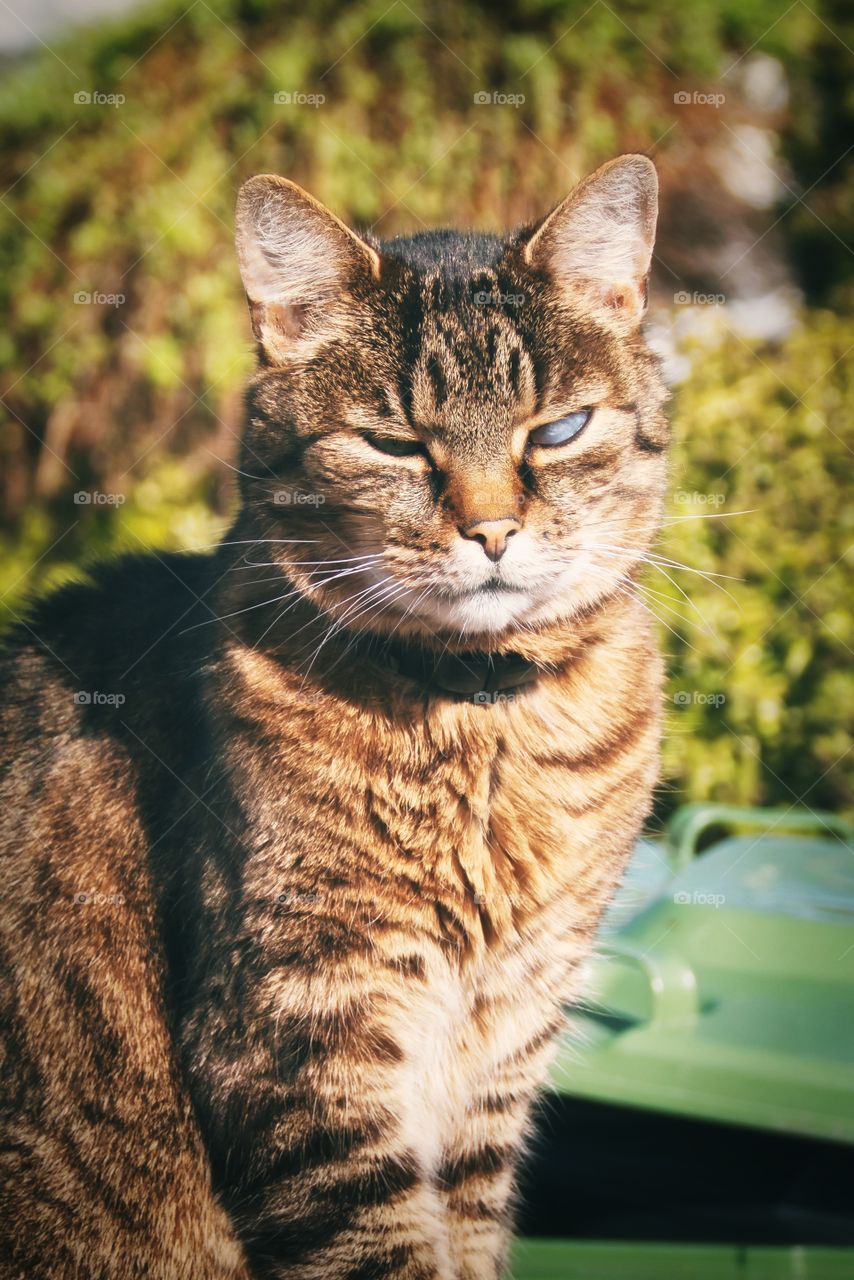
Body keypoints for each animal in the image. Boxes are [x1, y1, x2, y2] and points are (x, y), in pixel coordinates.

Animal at [0, 157, 665, 1280]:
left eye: (558, 429)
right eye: (392, 443)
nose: (492, 530)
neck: (480, 727)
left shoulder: (506, 1038)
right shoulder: (299, 1034)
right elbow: (379, 1246)